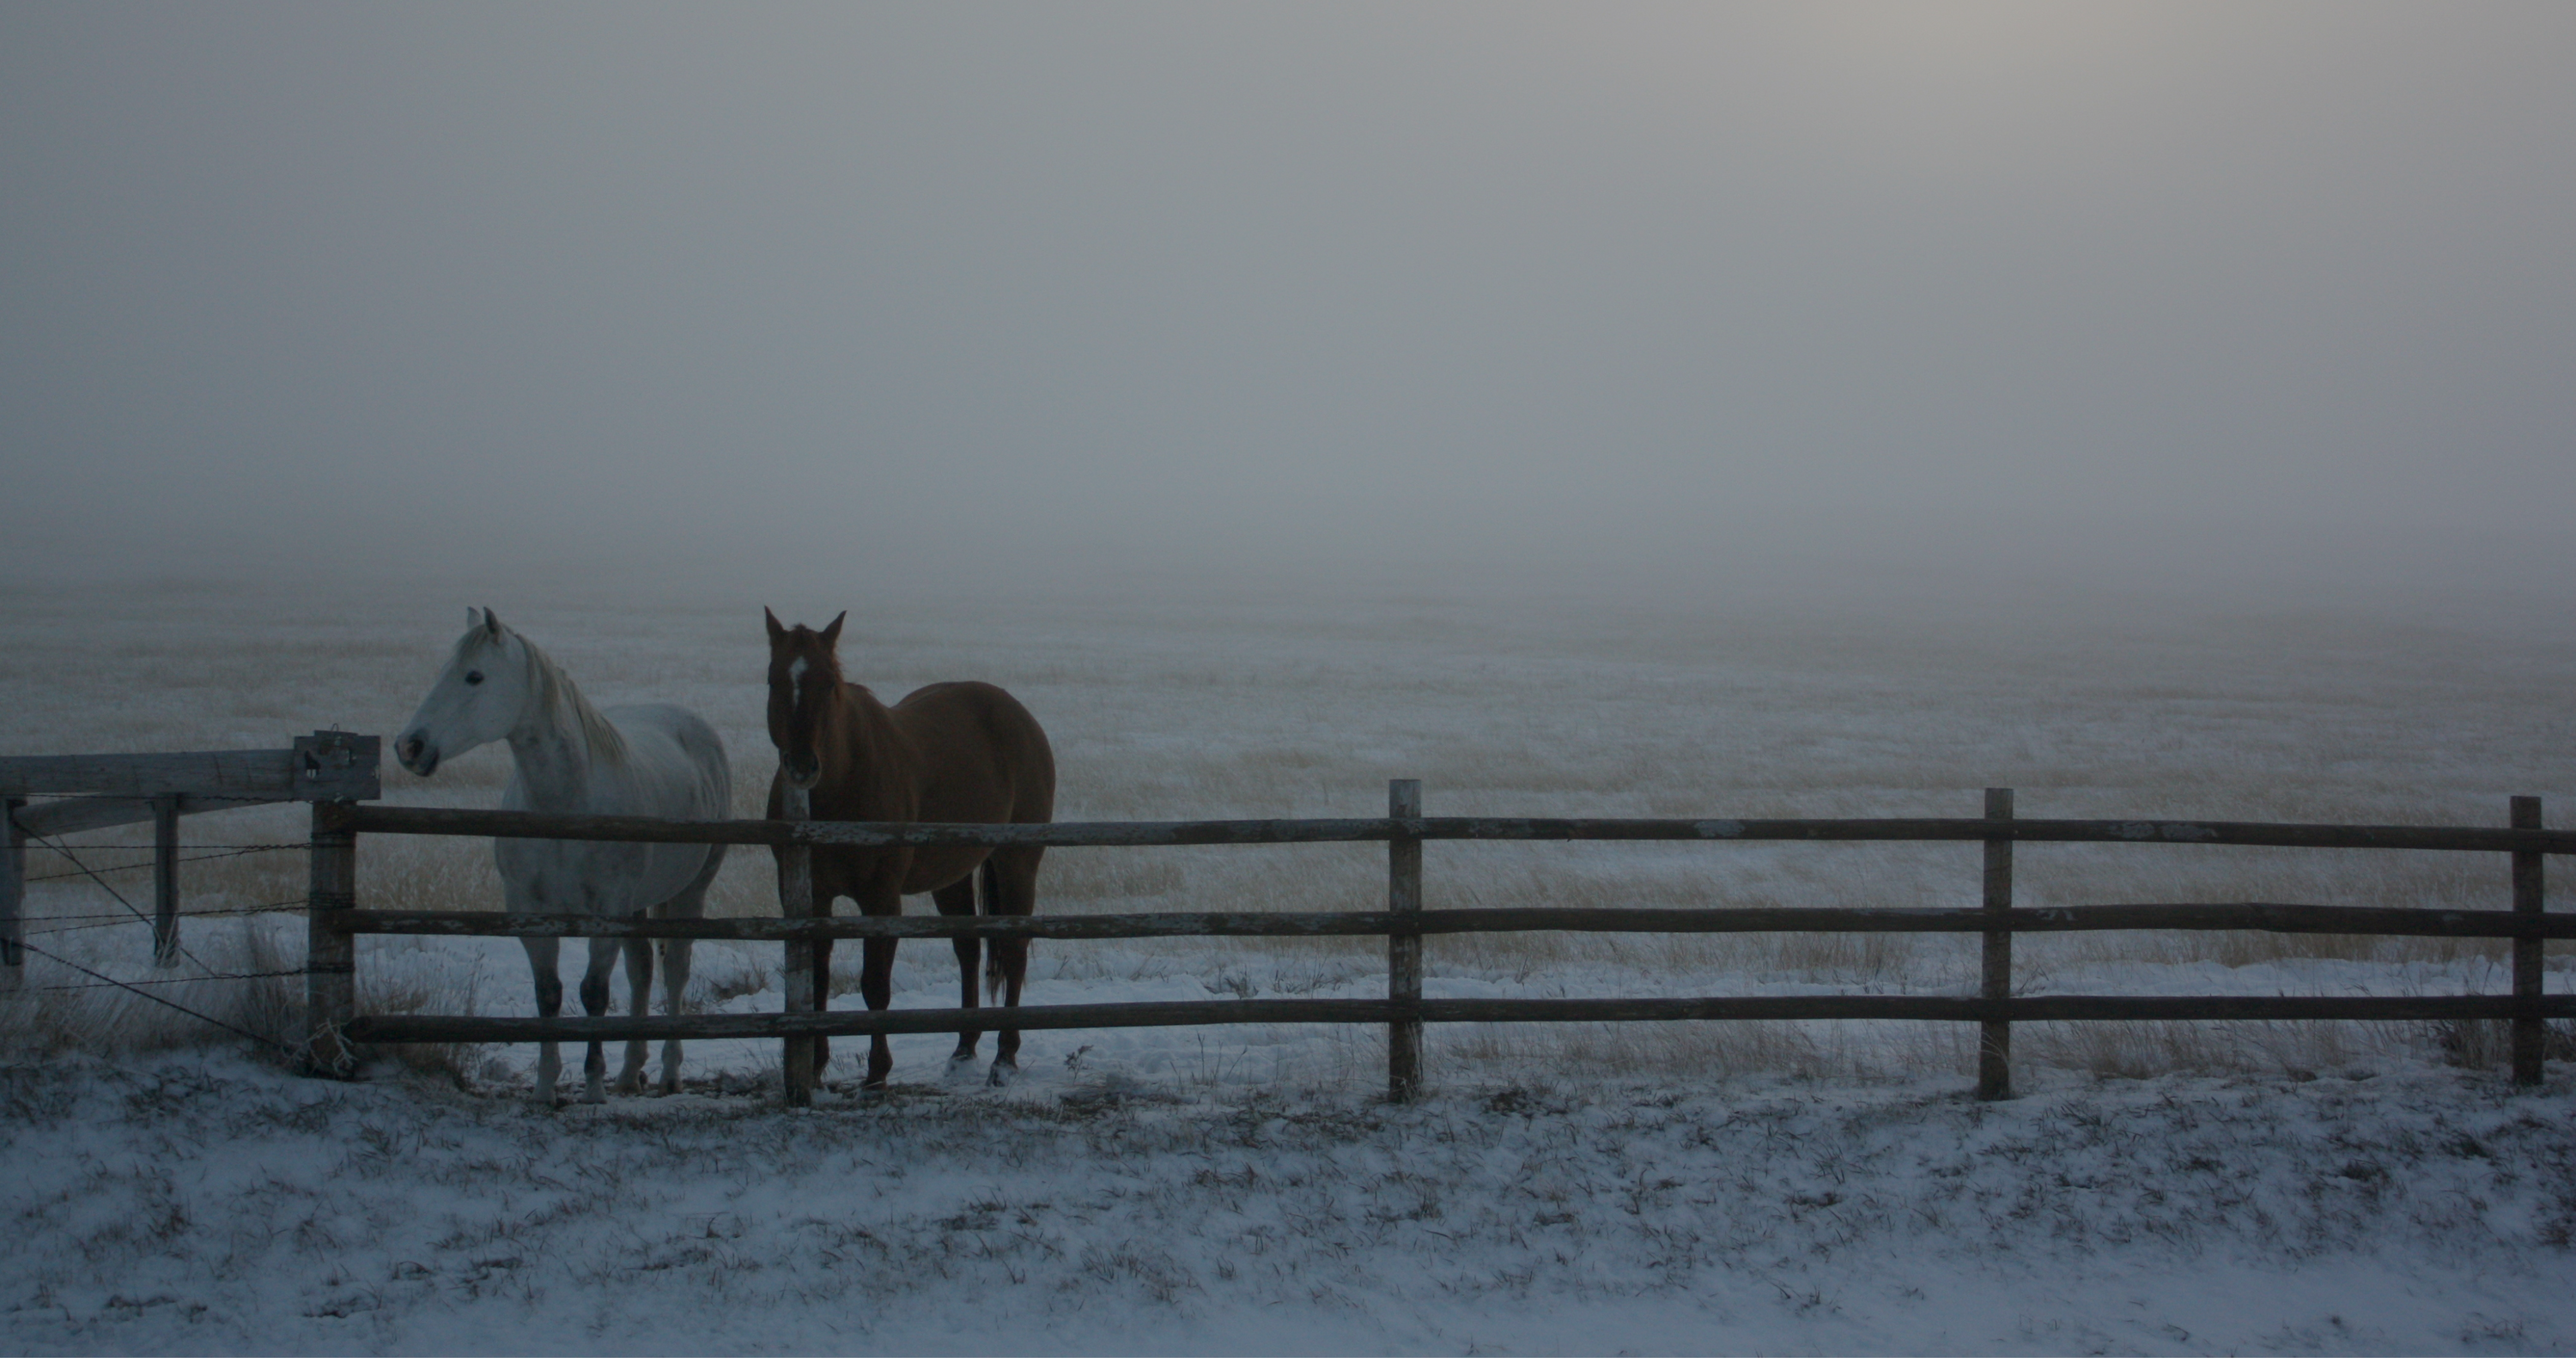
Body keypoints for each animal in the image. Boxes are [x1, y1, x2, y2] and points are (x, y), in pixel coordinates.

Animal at [394, 610, 737, 1112]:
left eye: (474, 676)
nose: (410, 747)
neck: (565, 805)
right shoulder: (531, 914)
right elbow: (549, 994)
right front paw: (544, 1087)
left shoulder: (605, 915)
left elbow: (593, 994)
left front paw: (592, 1086)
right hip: (637, 905)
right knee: (641, 971)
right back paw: (630, 1074)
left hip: (691, 891)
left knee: (675, 971)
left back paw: (669, 1074)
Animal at [762, 610, 1056, 1087]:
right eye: (773, 680)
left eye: (829, 682)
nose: (802, 765)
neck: (843, 783)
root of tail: (1017, 714)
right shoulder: (809, 896)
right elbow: (818, 980)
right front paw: (817, 1068)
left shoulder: (880, 897)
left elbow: (875, 985)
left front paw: (876, 1074)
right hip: (952, 875)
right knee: (968, 950)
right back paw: (963, 1050)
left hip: (1017, 864)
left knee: (1013, 952)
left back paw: (1004, 1058)